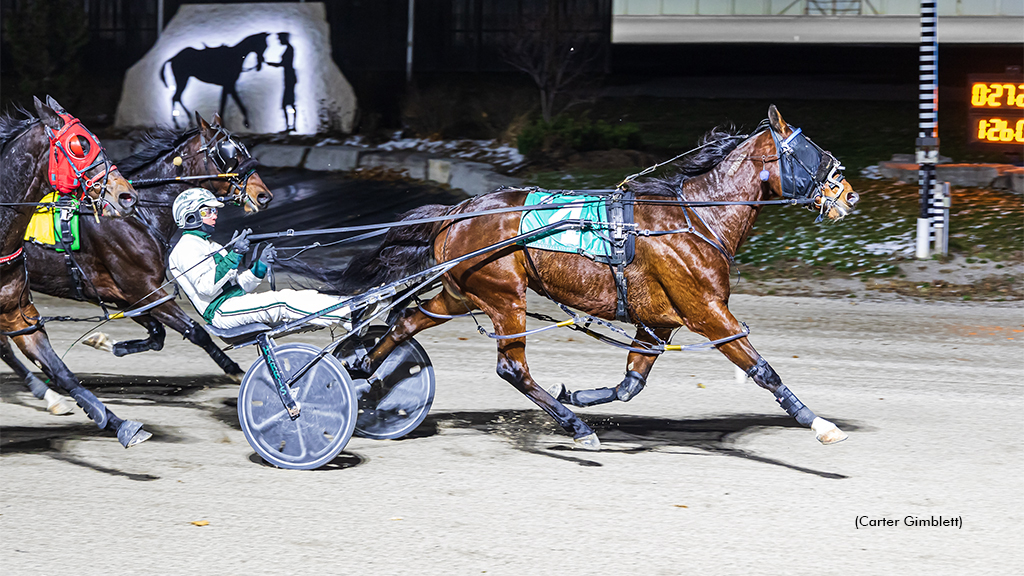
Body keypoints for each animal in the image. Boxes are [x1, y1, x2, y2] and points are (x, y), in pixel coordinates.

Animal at [0, 112, 274, 409]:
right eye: (228, 153)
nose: (264, 195)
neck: (138, 216)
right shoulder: (143, 290)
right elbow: (195, 331)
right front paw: (236, 370)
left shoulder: (127, 296)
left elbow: (157, 334)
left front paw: (104, 342)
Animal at [335, 106, 856, 448]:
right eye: (811, 151)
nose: (849, 194)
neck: (694, 219)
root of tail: (457, 212)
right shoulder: (707, 311)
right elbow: (762, 369)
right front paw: (819, 423)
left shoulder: (657, 322)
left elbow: (630, 384)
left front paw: (581, 394)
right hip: (505, 297)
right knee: (511, 367)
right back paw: (576, 428)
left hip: (461, 293)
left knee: (407, 320)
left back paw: (360, 371)